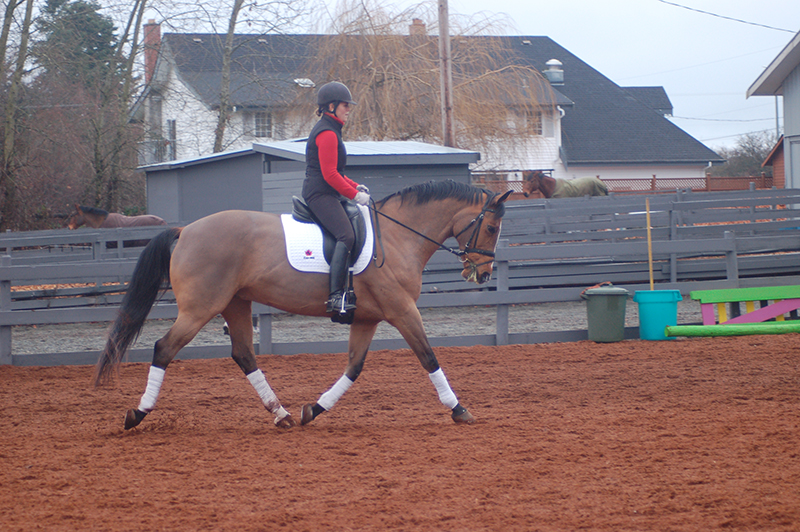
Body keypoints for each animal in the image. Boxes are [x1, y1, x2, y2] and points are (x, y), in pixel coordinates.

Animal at [94, 180, 513, 430]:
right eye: (492, 228)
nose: (484, 274)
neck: (397, 238)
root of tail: (185, 231)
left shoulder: (367, 318)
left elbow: (354, 368)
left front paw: (314, 408)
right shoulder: (402, 311)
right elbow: (429, 357)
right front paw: (459, 409)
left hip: (235, 303)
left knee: (244, 354)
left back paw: (280, 414)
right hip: (200, 308)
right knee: (164, 348)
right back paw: (137, 413)